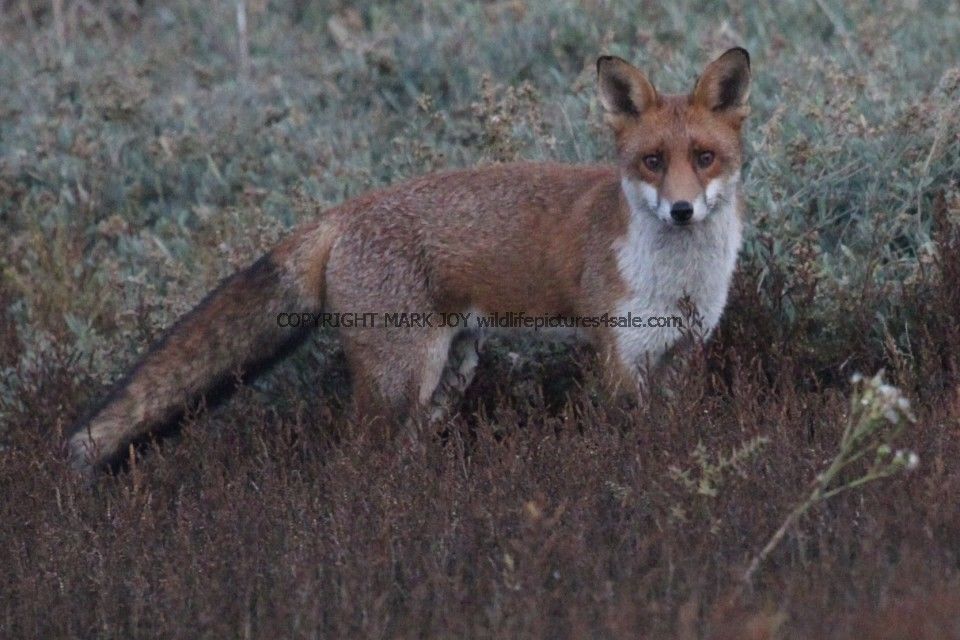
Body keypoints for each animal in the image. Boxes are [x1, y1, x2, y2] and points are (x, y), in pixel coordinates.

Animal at [67, 48, 752, 477]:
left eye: (706, 157)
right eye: (653, 162)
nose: (683, 211)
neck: (677, 281)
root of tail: (343, 211)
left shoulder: (681, 354)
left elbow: (674, 437)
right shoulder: (619, 359)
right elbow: (627, 449)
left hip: (445, 378)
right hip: (401, 380)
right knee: (351, 461)